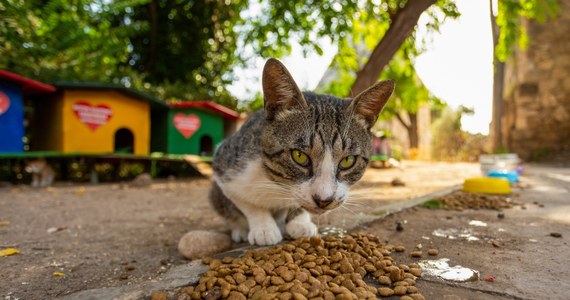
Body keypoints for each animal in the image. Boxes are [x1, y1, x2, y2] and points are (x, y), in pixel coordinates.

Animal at [211, 58, 392, 246]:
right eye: (299, 156)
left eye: (348, 160)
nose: (324, 200)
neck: (278, 185)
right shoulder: (225, 166)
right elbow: (248, 204)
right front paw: (264, 228)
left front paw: (300, 222)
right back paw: (240, 230)